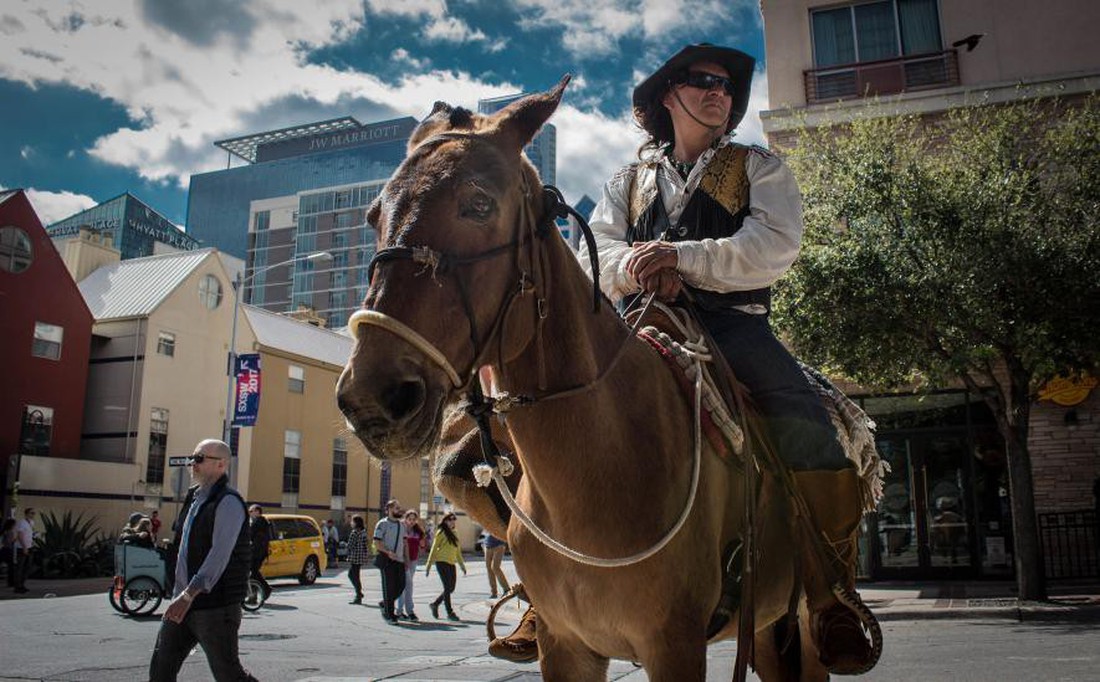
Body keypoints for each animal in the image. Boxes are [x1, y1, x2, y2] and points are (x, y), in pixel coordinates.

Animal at [338, 81, 827, 682]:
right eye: (373, 215)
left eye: (479, 203)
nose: (372, 396)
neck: (599, 461)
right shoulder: (566, 646)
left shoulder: (674, 645)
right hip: (764, 627)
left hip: (801, 624)